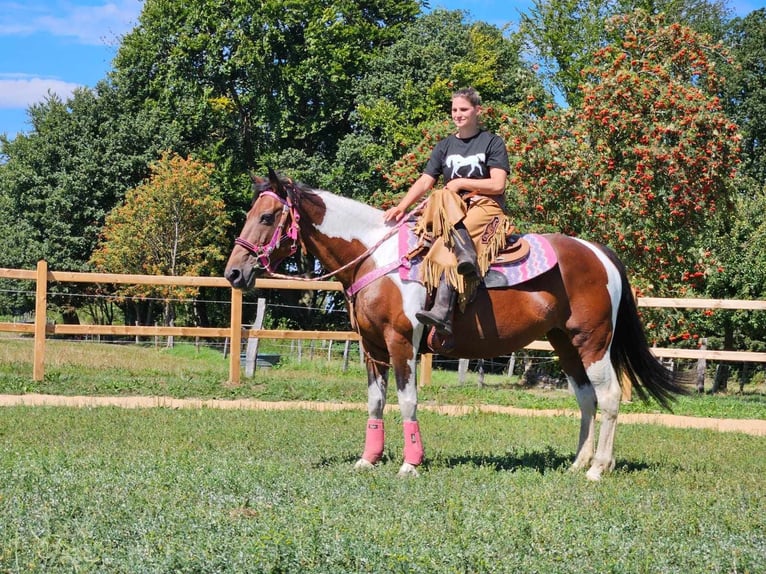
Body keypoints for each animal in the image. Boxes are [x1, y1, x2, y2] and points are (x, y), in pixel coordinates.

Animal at [225, 170, 688, 482]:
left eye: (267, 217)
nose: (233, 272)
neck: (376, 258)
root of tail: (599, 253)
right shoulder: (371, 347)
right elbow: (374, 404)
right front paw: (368, 459)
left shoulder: (401, 344)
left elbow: (407, 402)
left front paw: (411, 464)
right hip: (565, 345)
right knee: (587, 399)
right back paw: (578, 464)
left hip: (593, 342)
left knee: (608, 398)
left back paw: (598, 469)